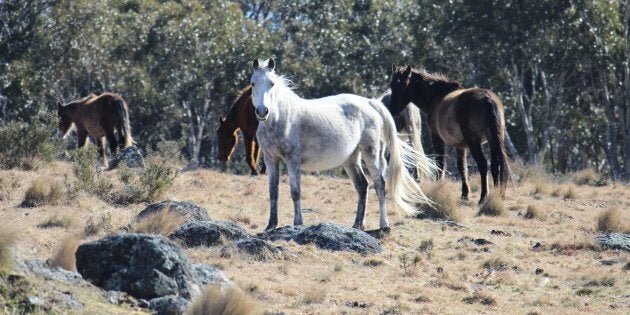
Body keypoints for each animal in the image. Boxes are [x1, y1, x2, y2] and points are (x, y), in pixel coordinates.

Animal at [252, 58, 440, 232]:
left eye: (272, 83)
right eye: (253, 83)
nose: (262, 111)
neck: (281, 118)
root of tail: (370, 102)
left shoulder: (293, 160)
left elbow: (295, 192)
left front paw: (298, 223)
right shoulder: (271, 160)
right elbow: (273, 192)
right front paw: (270, 225)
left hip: (371, 153)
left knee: (379, 184)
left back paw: (384, 225)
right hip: (351, 159)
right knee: (362, 185)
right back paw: (357, 225)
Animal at [388, 65, 512, 205]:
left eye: (403, 84)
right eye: (392, 84)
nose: (392, 110)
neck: (437, 96)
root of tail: (488, 99)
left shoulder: (436, 137)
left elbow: (440, 164)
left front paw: (437, 188)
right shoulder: (461, 146)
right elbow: (462, 167)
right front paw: (465, 194)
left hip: (474, 143)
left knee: (483, 164)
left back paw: (483, 197)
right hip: (493, 140)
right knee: (495, 165)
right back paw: (495, 196)